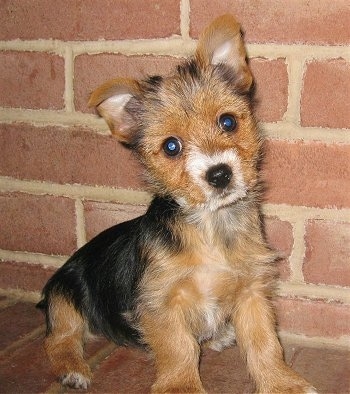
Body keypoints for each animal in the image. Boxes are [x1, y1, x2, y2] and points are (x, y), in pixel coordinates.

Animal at [37, 13, 316, 392]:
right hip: (64, 297)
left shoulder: (252, 293)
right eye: (171, 146)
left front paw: (281, 382)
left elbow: (265, 344)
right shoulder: (161, 303)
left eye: (228, 121)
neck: (211, 226)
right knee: (58, 338)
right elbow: (178, 347)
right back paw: (72, 368)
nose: (219, 174)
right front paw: (181, 385)